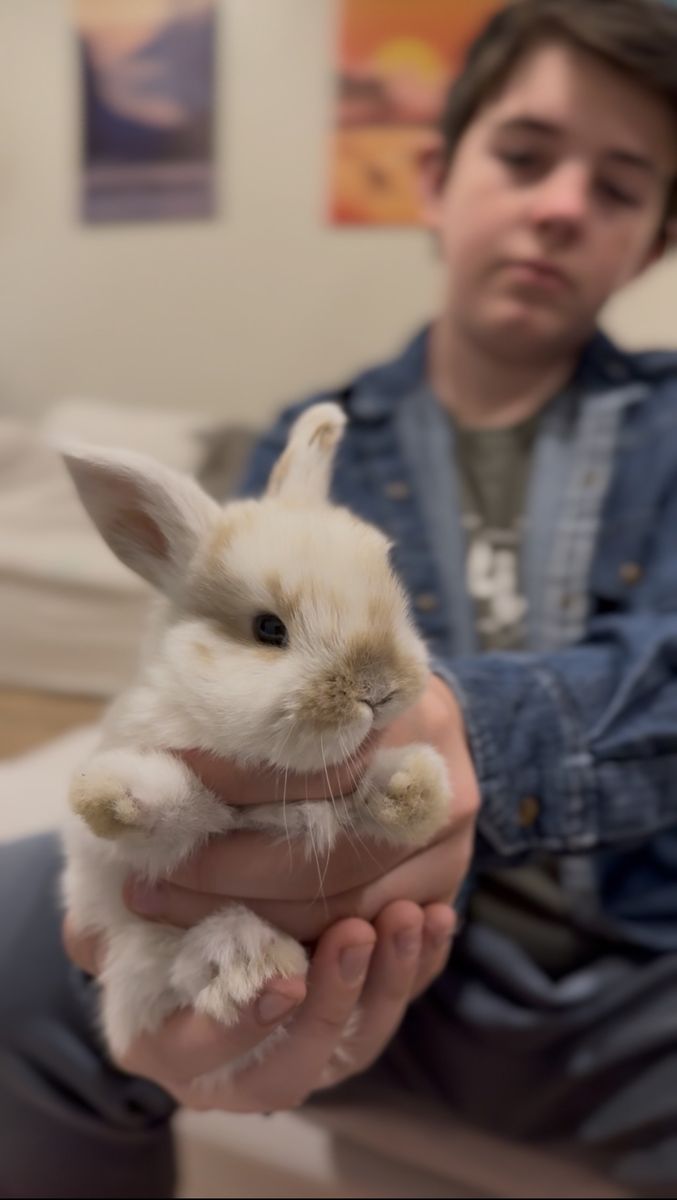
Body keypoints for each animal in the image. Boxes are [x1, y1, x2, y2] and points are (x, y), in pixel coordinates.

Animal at [59, 401, 451, 1087]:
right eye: (269, 629)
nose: (379, 689)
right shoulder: (135, 863)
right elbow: (168, 812)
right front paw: (108, 795)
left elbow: (375, 800)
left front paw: (414, 788)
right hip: (141, 961)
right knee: (181, 969)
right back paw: (251, 964)